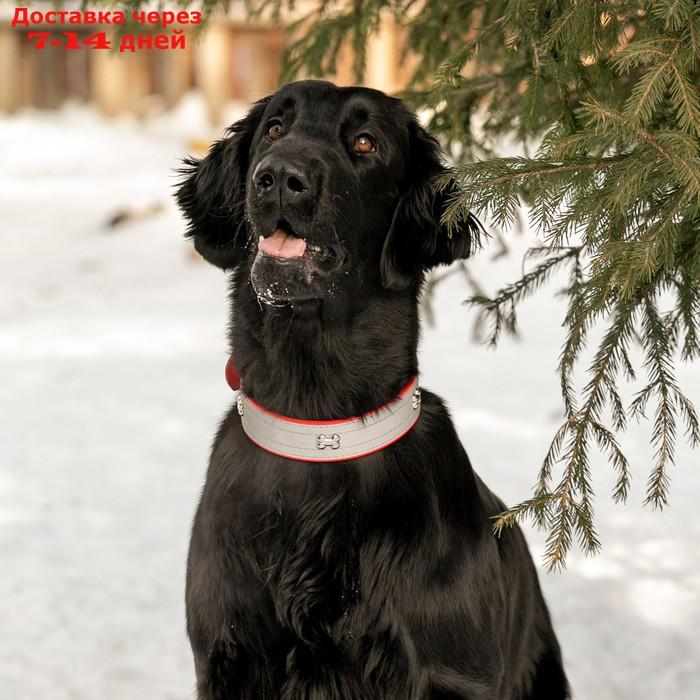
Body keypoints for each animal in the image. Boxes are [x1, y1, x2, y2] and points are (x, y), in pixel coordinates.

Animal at [176, 79, 568, 696]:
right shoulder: (227, 654)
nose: (279, 176)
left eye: (365, 142)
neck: (317, 430)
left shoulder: (450, 670)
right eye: (274, 128)